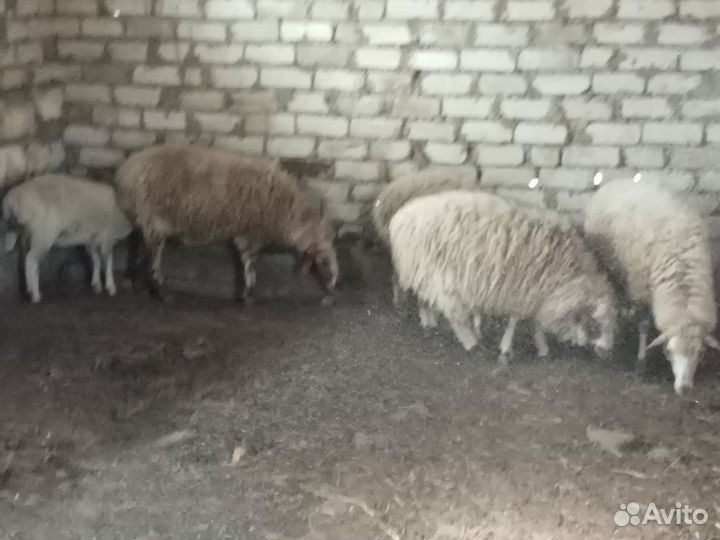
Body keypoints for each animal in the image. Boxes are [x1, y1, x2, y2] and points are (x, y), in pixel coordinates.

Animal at [2, 173, 132, 302]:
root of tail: (11, 200)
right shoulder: (108, 236)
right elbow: (108, 261)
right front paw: (111, 287)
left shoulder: (92, 239)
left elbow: (96, 259)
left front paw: (96, 285)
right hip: (43, 235)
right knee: (31, 261)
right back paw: (35, 295)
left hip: (25, 235)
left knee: (25, 259)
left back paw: (28, 289)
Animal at [114, 144, 339, 305]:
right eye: (324, 236)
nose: (332, 284)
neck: (288, 212)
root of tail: (126, 172)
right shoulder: (250, 233)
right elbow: (250, 265)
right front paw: (248, 296)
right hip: (154, 221)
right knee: (153, 259)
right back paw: (161, 292)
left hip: (142, 218)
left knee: (137, 244)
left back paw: (134, 279)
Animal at [389, 190, 618, 363]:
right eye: (594, 325)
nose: (608, 352)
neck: (565, 274)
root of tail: (400, 217)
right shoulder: (521, 291)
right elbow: (515, 322)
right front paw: (507, 350)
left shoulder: (535, 295)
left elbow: (535, 323)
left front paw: (542, 348)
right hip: (438, 273)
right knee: (454, 315)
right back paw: (470, 343)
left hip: (422, 272)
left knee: (424, 299)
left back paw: (429, 323)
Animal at [584, 179, 719, 396]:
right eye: (670, 351)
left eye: (700, 352)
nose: (684, 389)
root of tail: (618, 181)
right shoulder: (641, 289)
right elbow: (644, 325)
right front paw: (641, 362)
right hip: (608, 261)